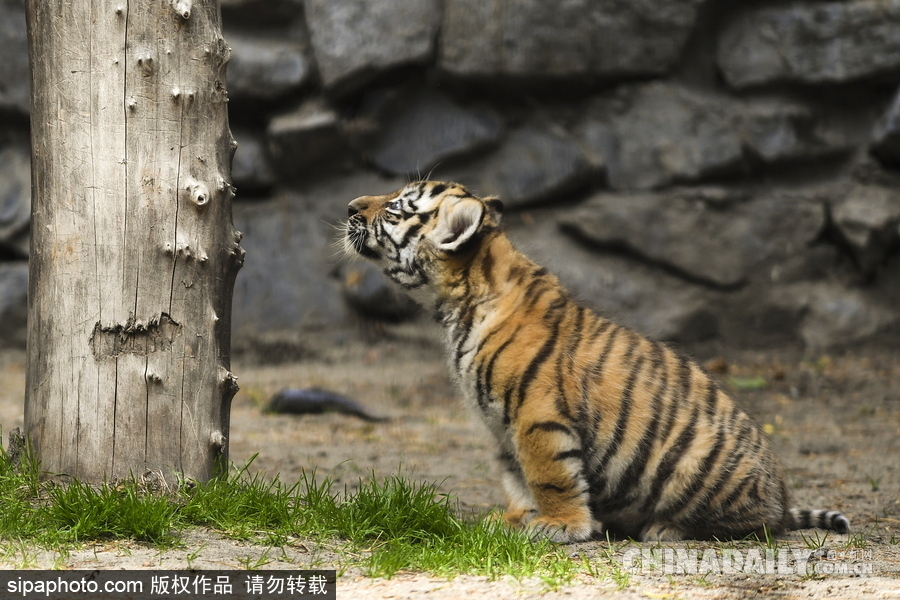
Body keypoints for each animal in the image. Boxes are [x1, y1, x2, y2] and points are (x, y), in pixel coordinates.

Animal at [343, 180, 851, 543]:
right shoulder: (501, 426)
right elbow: (514, 475)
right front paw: (514, 519)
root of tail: (782, 498)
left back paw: (665, 529)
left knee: (756, 527)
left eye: (394, 209)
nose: (350, 207)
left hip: (699, 466)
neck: (453, 307)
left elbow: (549, 474)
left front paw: (561, 526)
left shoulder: (536, 415)